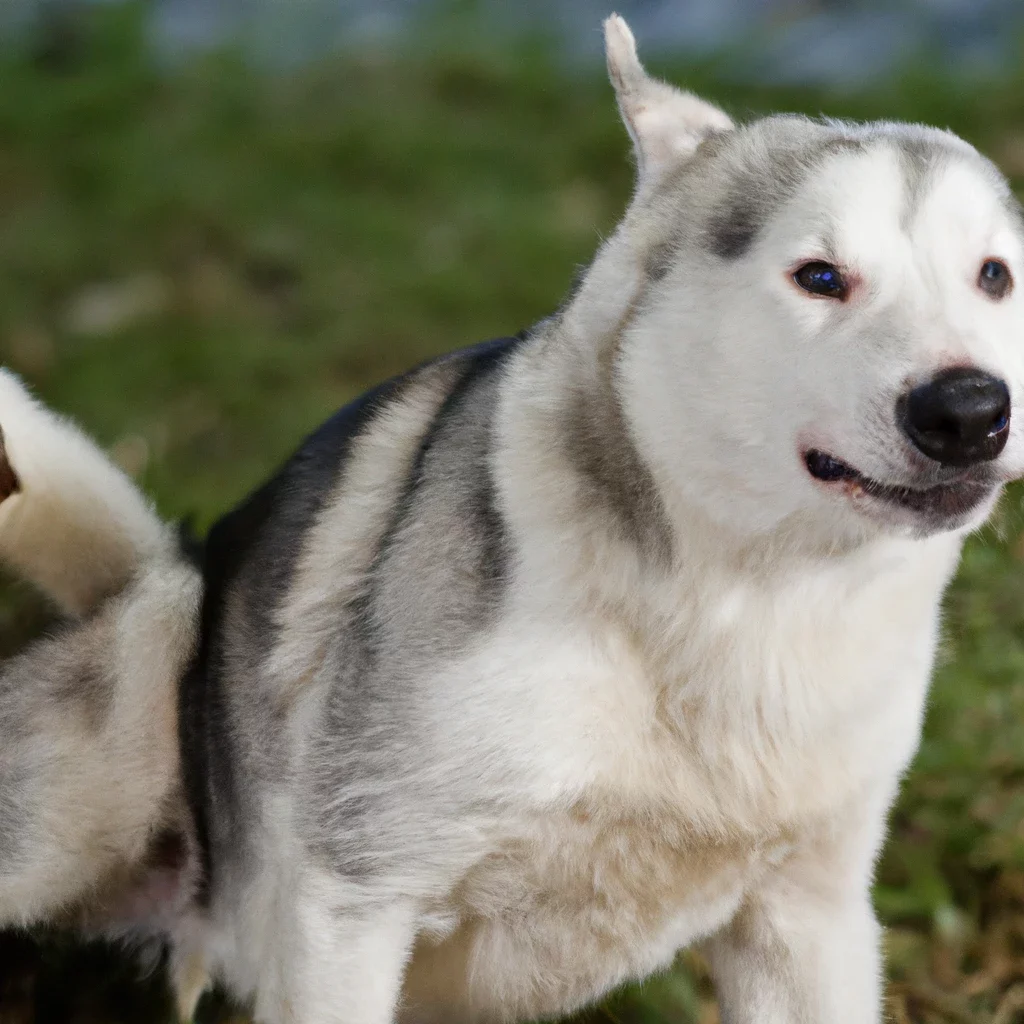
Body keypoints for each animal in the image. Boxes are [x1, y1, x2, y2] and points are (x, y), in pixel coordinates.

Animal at [2, 16, 1024, 1024]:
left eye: (995, 277)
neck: (747, 598)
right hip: (150, 655)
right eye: (818, 276)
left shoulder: (807, 915)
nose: (970, 410)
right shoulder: (353, 894)